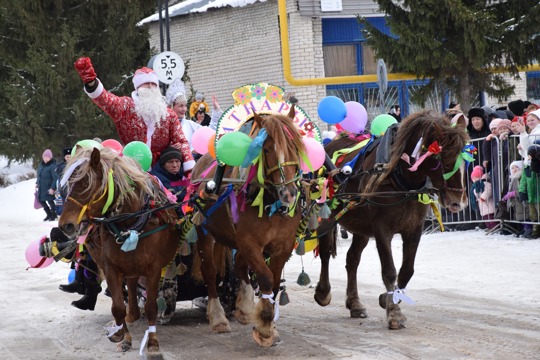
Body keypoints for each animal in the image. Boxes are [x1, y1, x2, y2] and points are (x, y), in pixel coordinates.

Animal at [58, 146, 179, 358]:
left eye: (86, 184)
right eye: (69, 184)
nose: (66, 225)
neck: (130, 225)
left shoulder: (154, 268)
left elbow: (151, 307)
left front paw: (153, 345)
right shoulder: (111, 268)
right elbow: (117, 307)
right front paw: (122, 336)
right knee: (126, 295)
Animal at [191, 109, 306, 346]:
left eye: (295, 145)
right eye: (267, 149)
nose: (288, 193)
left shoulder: (282, 245)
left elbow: (273, 280)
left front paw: (265, 321)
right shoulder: (250, 241)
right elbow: (265, 277)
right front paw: (264, 326)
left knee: (241, 266)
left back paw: (244, 306)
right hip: (205, 232)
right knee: (210, 271)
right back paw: (218, 317)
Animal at [314, 111, 470, 330]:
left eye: (466, 160)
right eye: (442, 158)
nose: (459, 202)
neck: (400, 178)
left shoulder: (414, 229)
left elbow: (406, 271)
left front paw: (389, 298)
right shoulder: (382, 230)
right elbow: (389, 270)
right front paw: (394, 313)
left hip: (361, 227)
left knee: (352, 259)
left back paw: (355, 303)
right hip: (327, 215)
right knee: (326, 253)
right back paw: (323, 292)